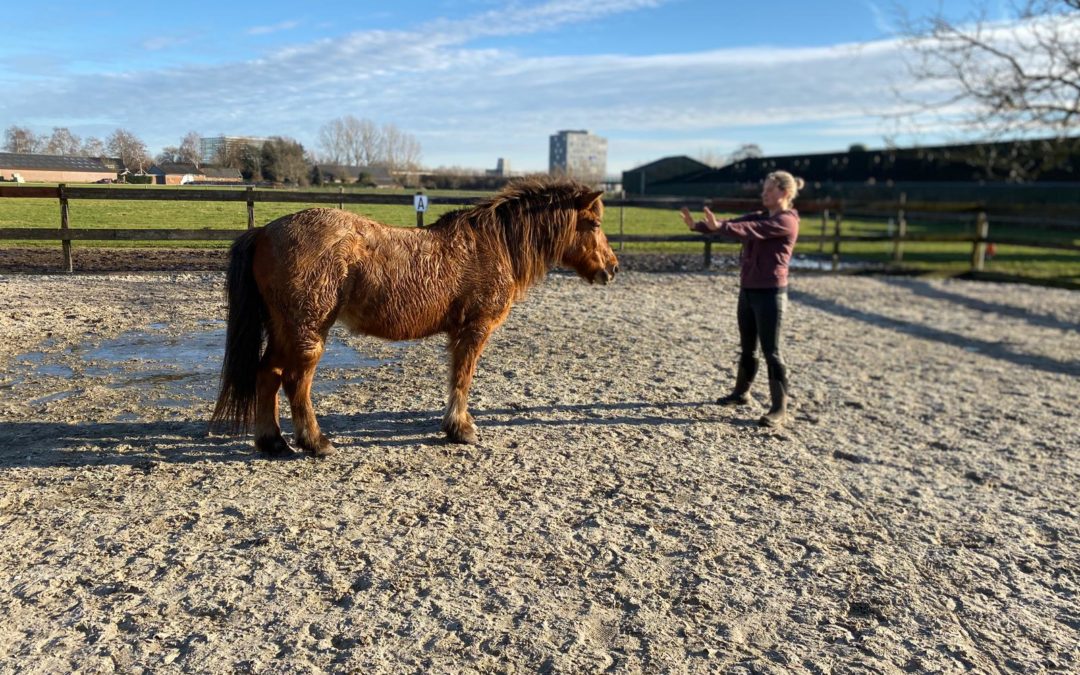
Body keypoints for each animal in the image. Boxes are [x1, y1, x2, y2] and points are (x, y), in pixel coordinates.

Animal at [209, 176, 622, 455]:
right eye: (595, 224)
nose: (612, 269)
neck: (494, 245)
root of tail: (265, 231)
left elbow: (457, 377)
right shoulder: (474, 329)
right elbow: (462, 378)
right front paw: (461, 429)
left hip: (284, 330)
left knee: (268, 375)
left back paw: (273, 442)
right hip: (308, 331)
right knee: (296, 381)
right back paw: (315, 441)